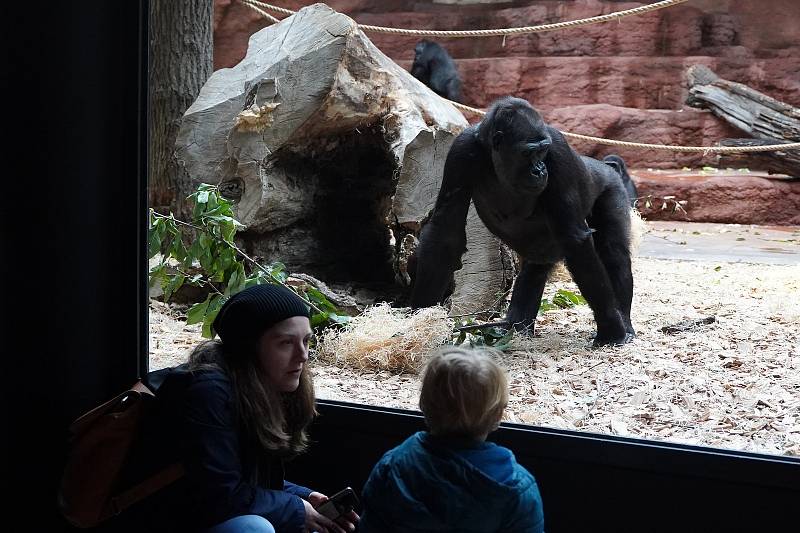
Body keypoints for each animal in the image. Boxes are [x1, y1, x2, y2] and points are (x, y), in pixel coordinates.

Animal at [410, 96, 636, 348]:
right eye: (528, 153)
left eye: (543, 151)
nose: (540, 170)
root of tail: (604, 166)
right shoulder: (462, 149)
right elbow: (446, 230)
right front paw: (420, 314)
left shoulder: (557, 148)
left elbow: (575, 238)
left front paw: (611, 328)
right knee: (536, 267)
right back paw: (517, 327)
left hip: (613, 186)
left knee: (613, 253)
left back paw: (623, 321)